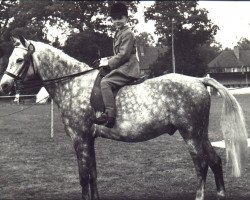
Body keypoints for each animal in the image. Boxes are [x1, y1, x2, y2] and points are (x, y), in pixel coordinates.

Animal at [0, 36, 248, 200]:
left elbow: (83, 176)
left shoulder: (80, 139)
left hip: (190, 134)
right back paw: (221, 193)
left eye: (20, 60)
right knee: (215, 160)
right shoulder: (89, 140)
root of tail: (198, 80)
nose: (4, 85)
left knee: (201, 164)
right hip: (200, 132)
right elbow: (93, 174)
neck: (73, 83)